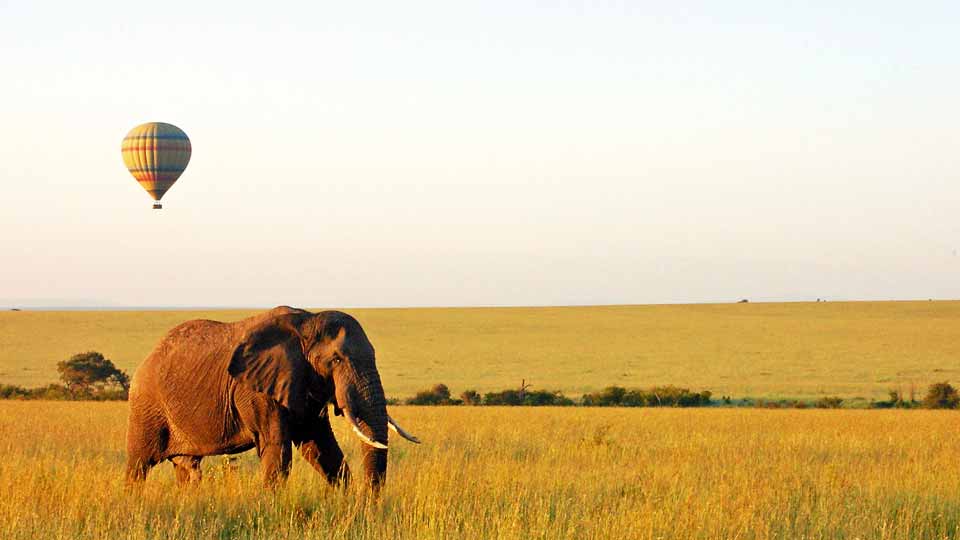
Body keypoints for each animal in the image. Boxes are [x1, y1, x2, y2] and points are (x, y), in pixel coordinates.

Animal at [124, 308, 416, 490]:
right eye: (335, 360)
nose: (366, 502)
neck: (307, 321)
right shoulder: (257, 391)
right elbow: (278, 449)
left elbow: (321, 447)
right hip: (146, 406)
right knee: (139, 464)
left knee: (188, 468)